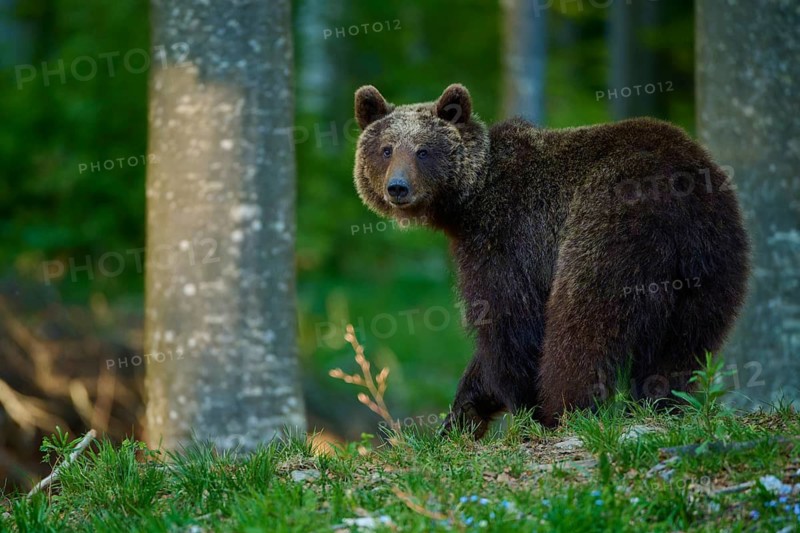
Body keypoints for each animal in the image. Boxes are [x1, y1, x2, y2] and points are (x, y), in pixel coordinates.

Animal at [352, 83, 750, 436]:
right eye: (386, 149)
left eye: (423, 151)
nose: (398, 187)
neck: (467, 203)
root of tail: (679, 189)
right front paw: (460, 418)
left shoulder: (509, 233)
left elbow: (508, 321)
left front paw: (524, 409)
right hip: (713, 258)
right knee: (686, 342)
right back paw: (664, 402)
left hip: (612, 231)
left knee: (583, 325)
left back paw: (568, 409)